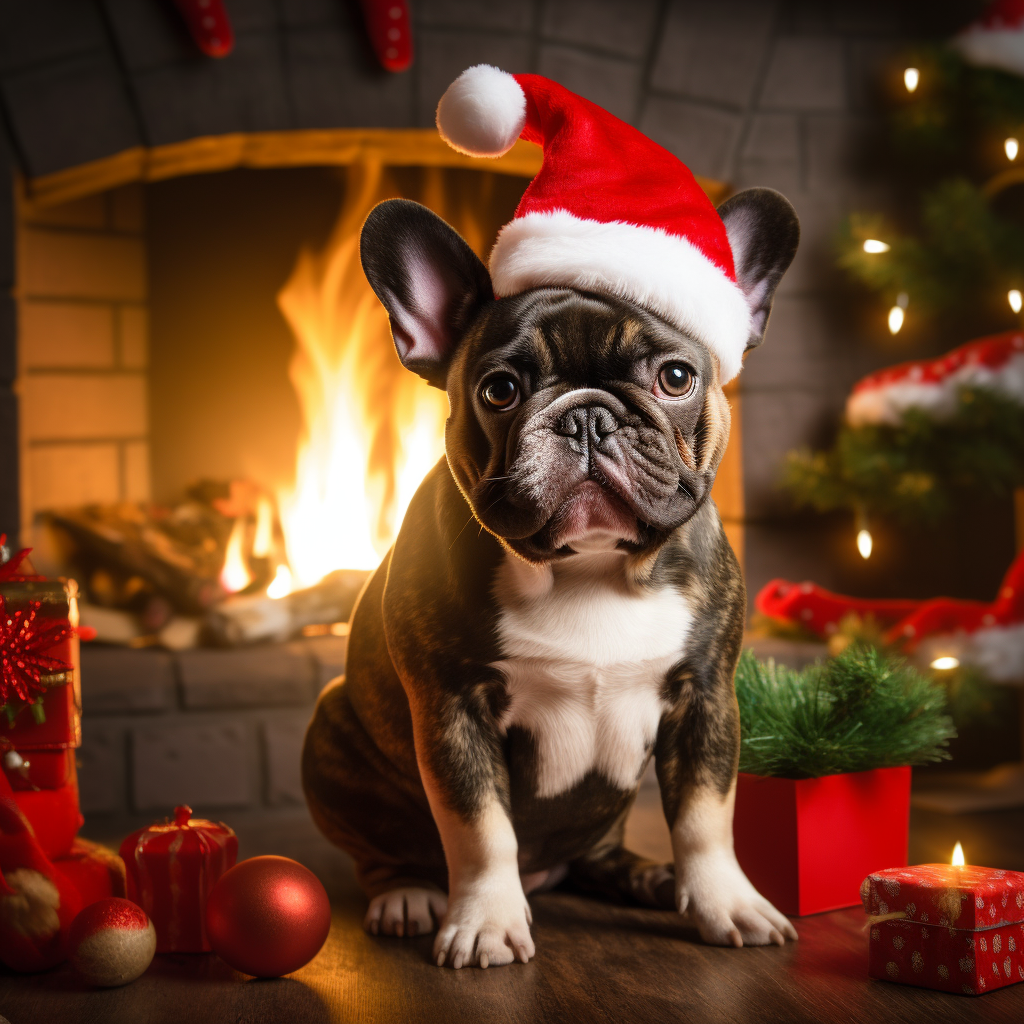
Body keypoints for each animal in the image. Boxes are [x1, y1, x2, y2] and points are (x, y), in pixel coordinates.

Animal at [299, 178, 802, 966]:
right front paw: (484, 921)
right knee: (388, 850)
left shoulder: (706, 697)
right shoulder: (453, 708)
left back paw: (653, 879)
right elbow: (478, 828)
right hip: (331, 730)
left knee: (602, 854)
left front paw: (727, 902)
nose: (588, 416)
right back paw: (407, 894)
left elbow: (704, 816)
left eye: (676, 377)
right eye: (500, 389)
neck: (591, 569)